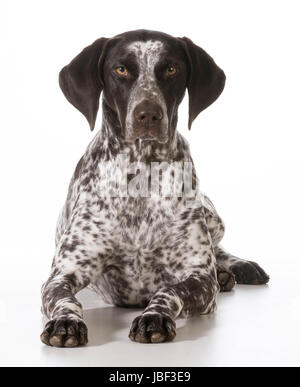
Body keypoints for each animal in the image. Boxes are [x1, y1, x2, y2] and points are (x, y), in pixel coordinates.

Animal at [40, 28, 270, 348]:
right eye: (120, 69)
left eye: (171, 69)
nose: (148, 114)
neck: (142, 172)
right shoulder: (64, 273)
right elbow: (65, 300)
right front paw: (65, 323)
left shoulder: (199, 278)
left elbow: (170, 291)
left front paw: (154, 316)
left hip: (212, 215)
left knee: (217, 247)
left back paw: (235, 267)